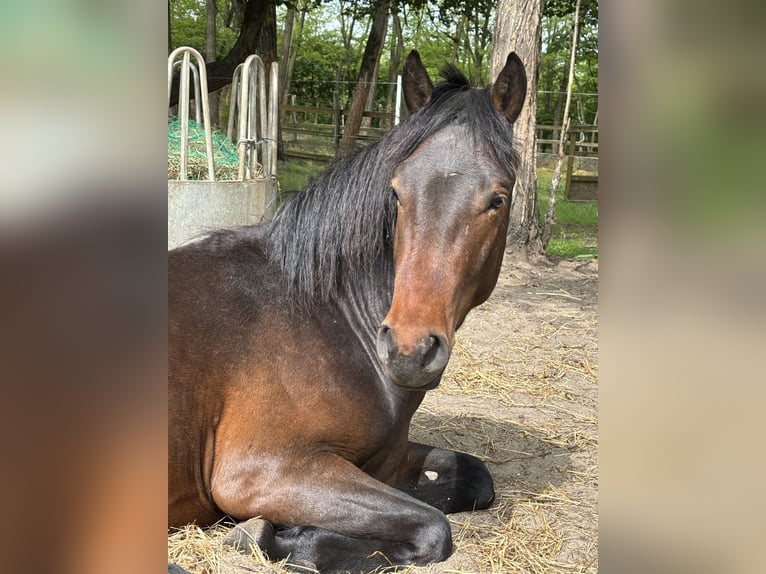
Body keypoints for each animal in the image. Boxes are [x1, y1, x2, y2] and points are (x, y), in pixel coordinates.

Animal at [169, 50, 527, 573]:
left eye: (497, 199)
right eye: (396, 193)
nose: (409, 350)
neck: (326, 314)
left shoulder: (385, 461)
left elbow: (470, 480)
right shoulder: (261, 472)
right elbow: (432, 526)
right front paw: (270, 536)